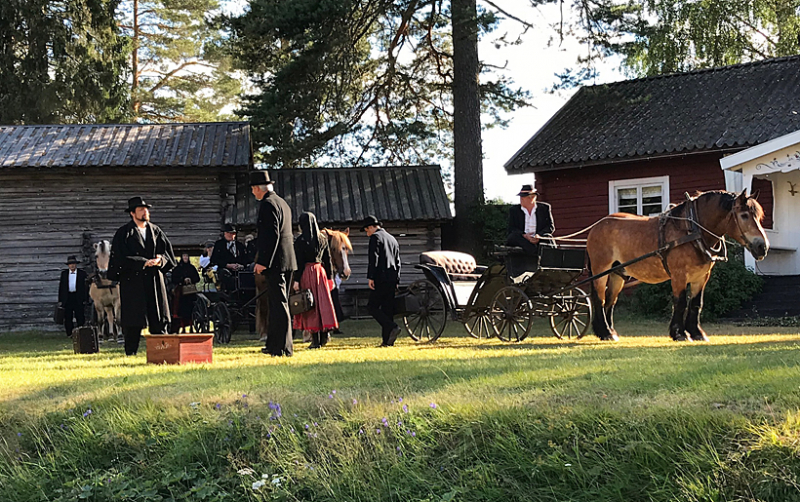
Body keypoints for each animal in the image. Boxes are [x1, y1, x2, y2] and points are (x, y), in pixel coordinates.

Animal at [588, 190, 768, 344]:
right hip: (601, 271)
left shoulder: (701, 276)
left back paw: (610, 331)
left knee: (610, 301)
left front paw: (696, 333)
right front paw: (679, 333)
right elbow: (680, 302)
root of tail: (597, 226)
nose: (763, 247)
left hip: (617, 273)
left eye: (759, 216)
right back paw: (605, 332)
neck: (692, 231)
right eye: (744, 215)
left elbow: (696, 303)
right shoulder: (679, 275)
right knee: (599, 299)